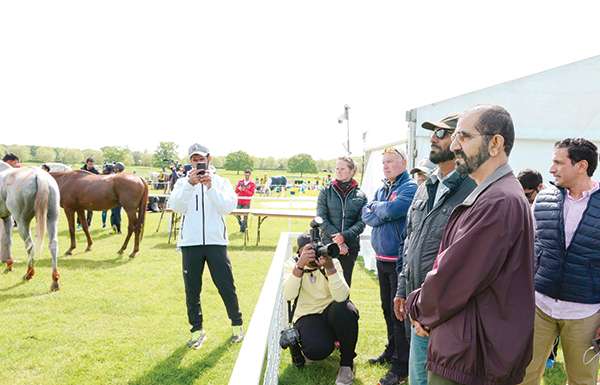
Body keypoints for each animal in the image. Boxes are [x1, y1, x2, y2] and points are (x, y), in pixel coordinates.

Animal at [0, 160, 61, 290]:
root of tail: (40, 176)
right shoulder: (7, 217)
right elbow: (7, 240)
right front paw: (9, 265)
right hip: (52, 217)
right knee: (53, 245)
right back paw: (54, 280)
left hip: (22, 221)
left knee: (30, 245)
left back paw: (29, 273)